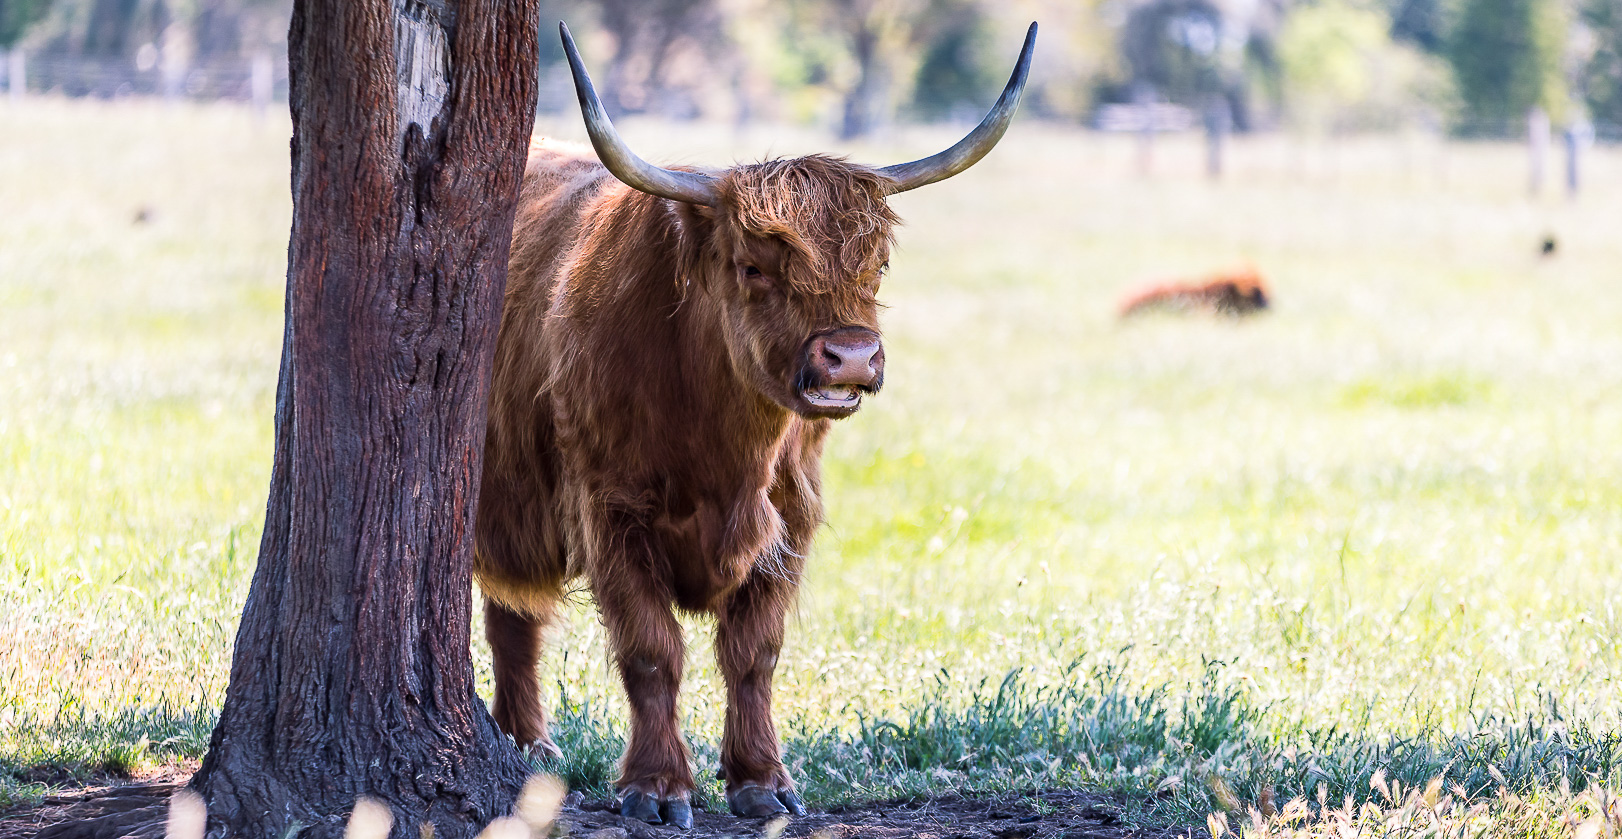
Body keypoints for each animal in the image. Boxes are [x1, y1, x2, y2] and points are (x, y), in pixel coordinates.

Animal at [470, 22, 1038, 827]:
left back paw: (528, 746)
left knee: (512, 615)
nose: (850, 356)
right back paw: (530, 746)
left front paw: (761, 779)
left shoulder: (790, 517)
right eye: (753, 267)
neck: (723, 450)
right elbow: (652, 649)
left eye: (877, 265)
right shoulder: (609, 510)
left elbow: (754, 651)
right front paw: (656, 787)